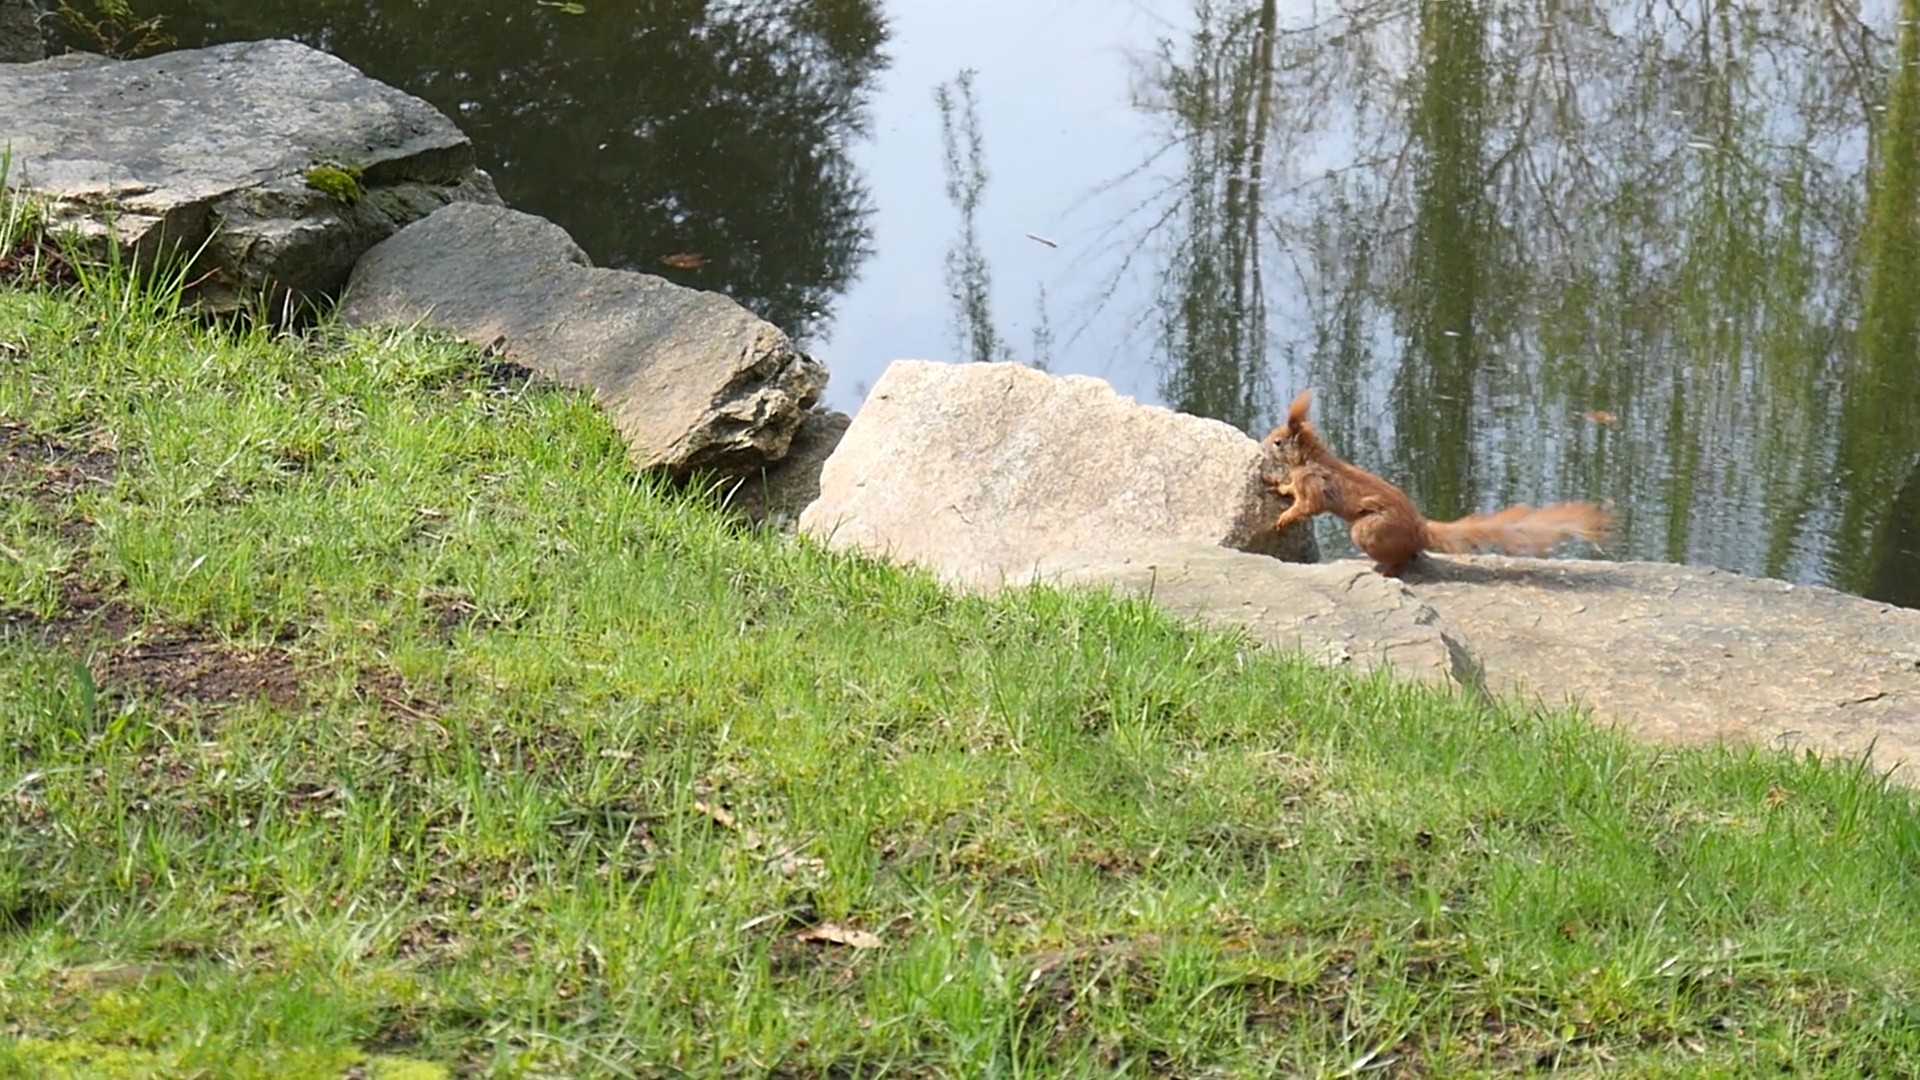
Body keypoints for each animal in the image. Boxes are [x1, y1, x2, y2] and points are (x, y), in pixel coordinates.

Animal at [1262, 389, 1611, 577]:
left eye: (1279, 442)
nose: (1265, 445)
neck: (1309, 460)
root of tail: (1420, 530)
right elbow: (1291, 491)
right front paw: (1275, 485)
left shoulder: (1315, 486)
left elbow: (1306, 506)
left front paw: (1283, 518)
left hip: (1368, 530)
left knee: (1404, 559)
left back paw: (1387, 572)